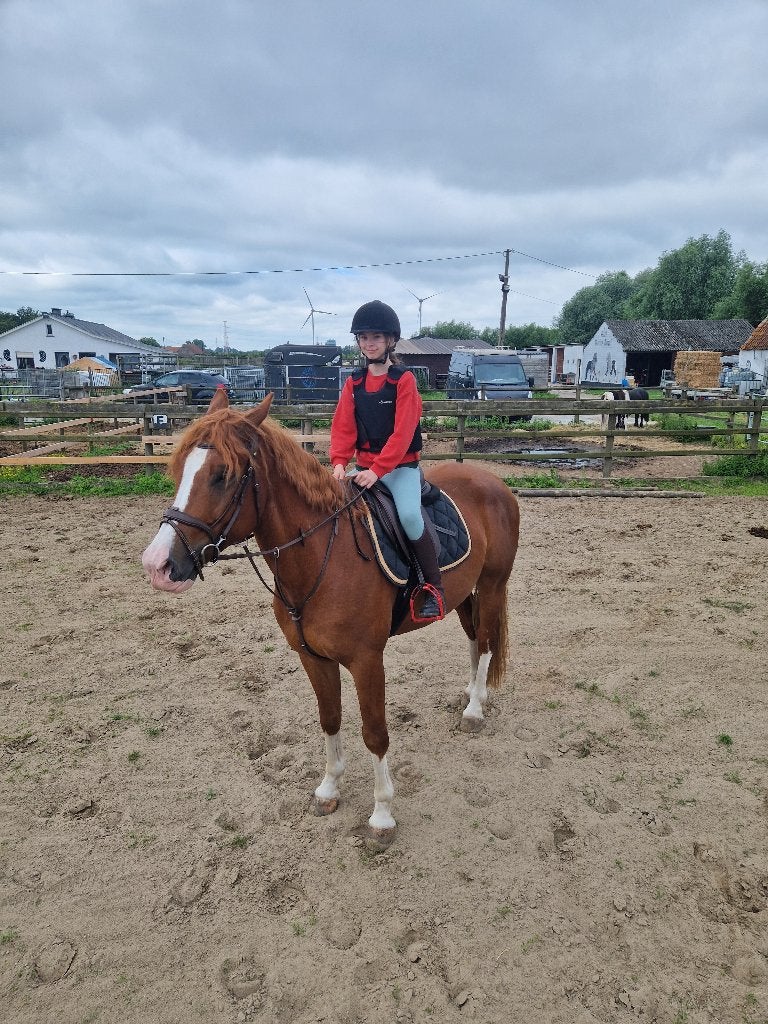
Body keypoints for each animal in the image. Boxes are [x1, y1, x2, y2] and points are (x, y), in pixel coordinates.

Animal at [141, 390, 520, 848]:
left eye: (221, 475)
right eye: (180, 469)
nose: (157, 565)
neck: (323, 555)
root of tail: (493, 482)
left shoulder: (367, 661)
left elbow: (374, 732)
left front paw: (381, 815)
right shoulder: (313, 657)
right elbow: (330, 718)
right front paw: (328, 789)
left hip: (494, 584)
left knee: (487, 639)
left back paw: (475, 709)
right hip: (462, 593)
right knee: (473, 637)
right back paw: (468, 693)